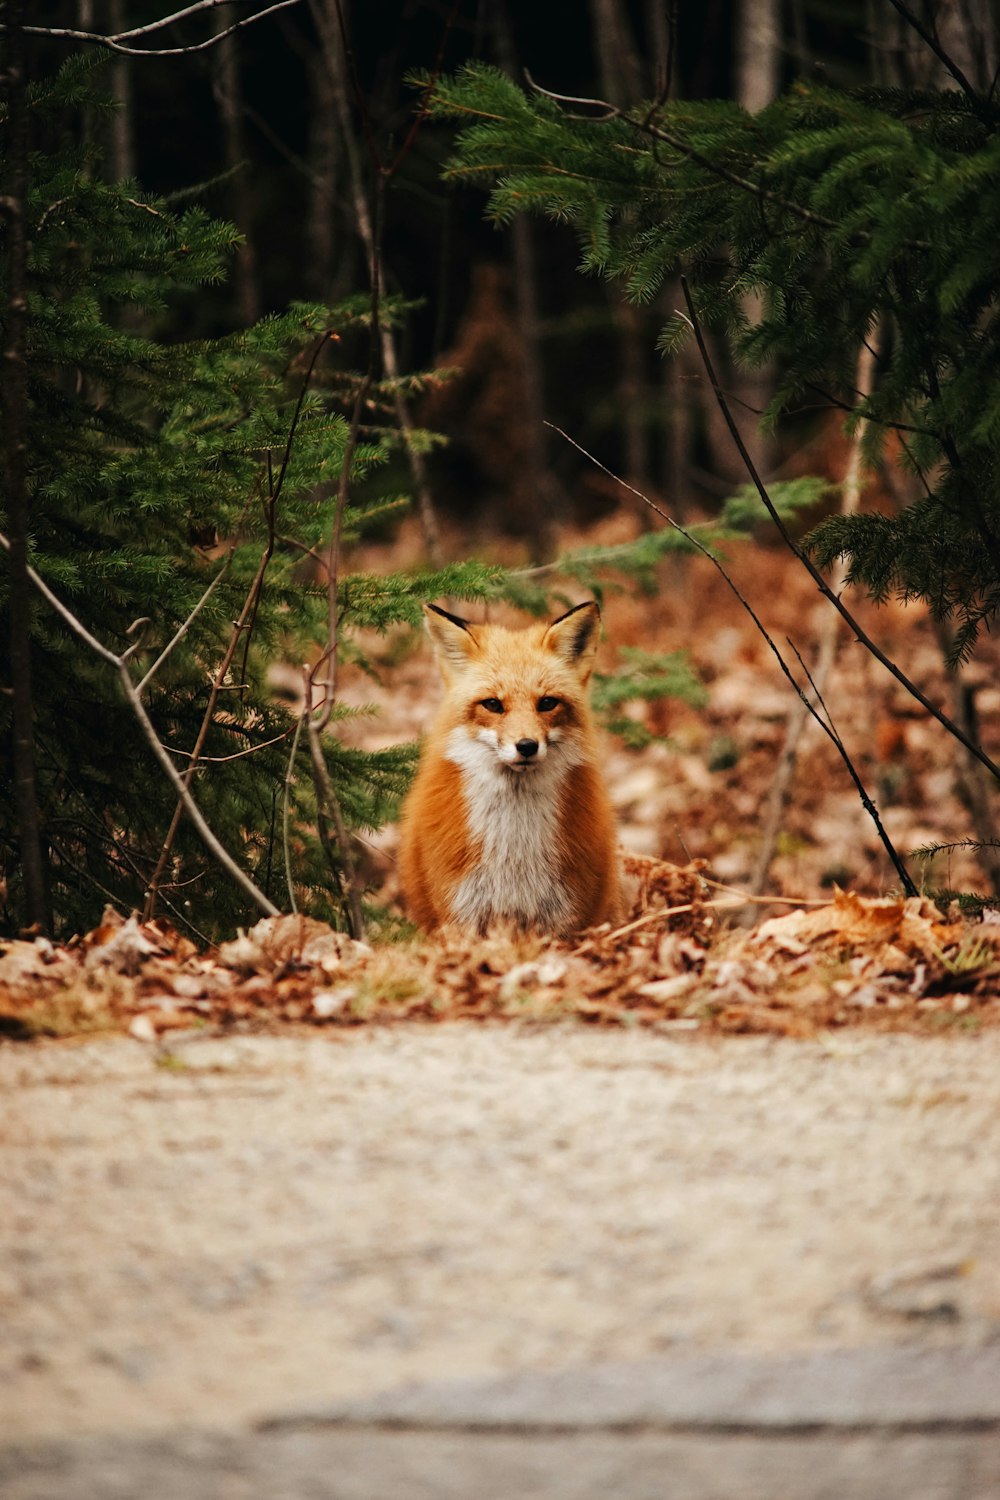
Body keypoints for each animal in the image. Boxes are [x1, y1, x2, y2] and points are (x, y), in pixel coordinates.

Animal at [395, 600, 617, 936]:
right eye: (493, 705)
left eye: (547, 703)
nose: (526, 746)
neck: (514, 854)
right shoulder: (461, 913)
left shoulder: (565, 917)